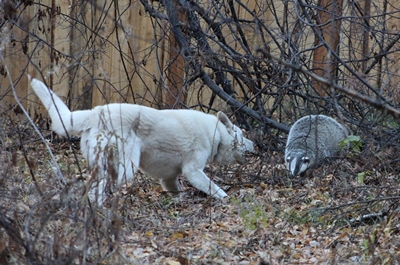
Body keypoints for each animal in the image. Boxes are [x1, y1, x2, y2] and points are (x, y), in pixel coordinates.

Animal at [28, 75, 253, 203]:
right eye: (242, 135)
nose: (254, 144)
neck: (216, 134)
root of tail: (96, 112)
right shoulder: (193, 171)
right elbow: (215, 189)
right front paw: (227, 200)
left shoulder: (169, 179)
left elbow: (177, 193)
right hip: (126, 168)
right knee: (99, 190)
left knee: (91, 190)